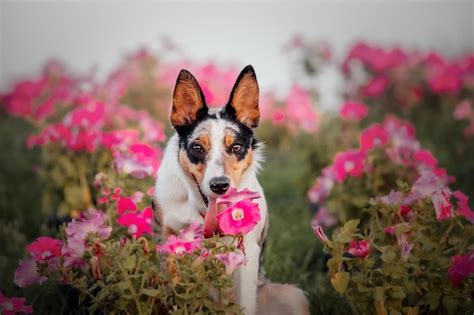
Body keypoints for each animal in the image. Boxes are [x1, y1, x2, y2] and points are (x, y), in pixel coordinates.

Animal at [156, 65, 310, 314]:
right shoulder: (168, 243)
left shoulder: (247, 251)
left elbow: (245, 303)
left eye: (236, 147)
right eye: (197, 148)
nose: (219, 185)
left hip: (291, 295)